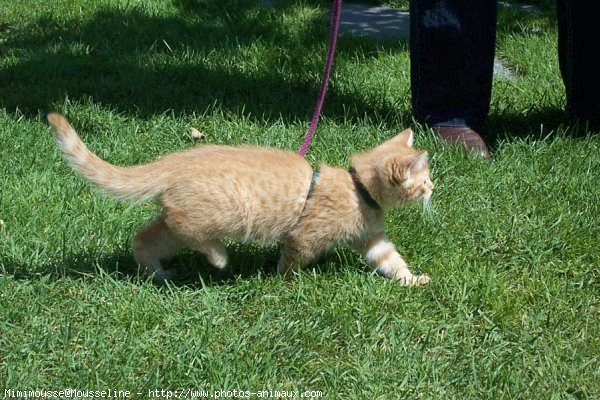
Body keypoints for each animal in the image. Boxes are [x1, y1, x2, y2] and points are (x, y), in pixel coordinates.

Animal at [45, 112, 432, 284]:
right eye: (425, 180)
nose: (434, 189)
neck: (358, 190)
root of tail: (175, 161)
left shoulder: (373, 240)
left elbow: (391, 260)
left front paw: (412, 280)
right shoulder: (304, 237)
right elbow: (291, 260)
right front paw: (284, 282)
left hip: (174, 223)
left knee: (145, 237)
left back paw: (157, 272)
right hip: (222, 212)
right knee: (188, 229)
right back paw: (218, 257)